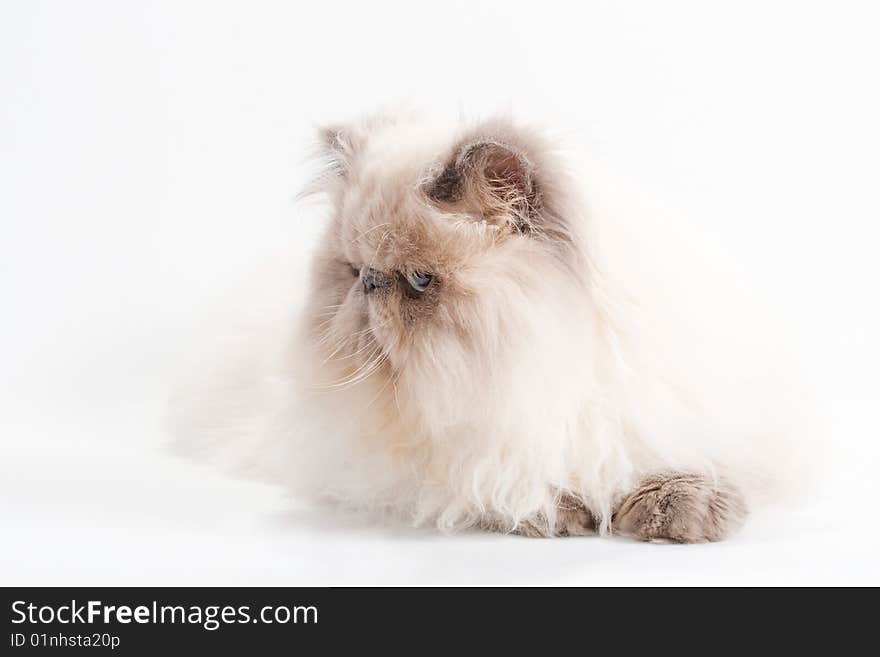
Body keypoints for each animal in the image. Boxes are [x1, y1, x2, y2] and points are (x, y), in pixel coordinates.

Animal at [174, 111, 812, 544]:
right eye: (355, 271)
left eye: (420, 281)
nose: (370, 287)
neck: (526, 369)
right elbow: (501, 484)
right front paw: (562, 513)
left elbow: (669, 461)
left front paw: (680, 514)